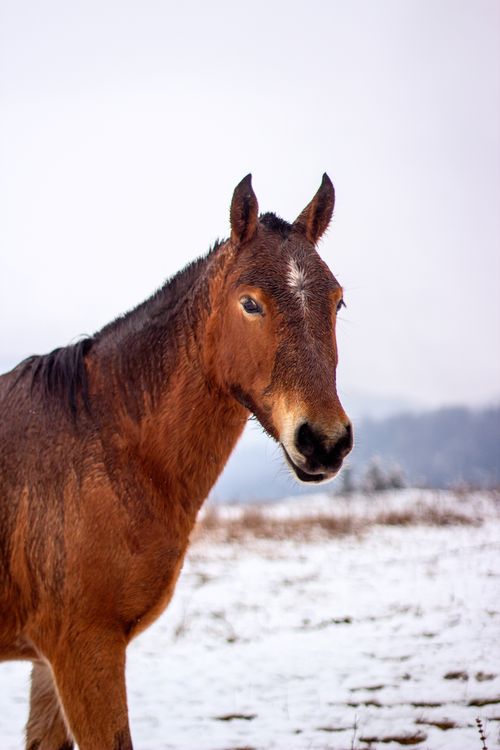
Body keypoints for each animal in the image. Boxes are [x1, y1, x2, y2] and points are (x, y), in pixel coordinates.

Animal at [0, 173, 353, 749]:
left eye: (338, 302)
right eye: (249, 303)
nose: (324, 441)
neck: (106, 443)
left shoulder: (47, 662)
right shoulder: (83, 650)